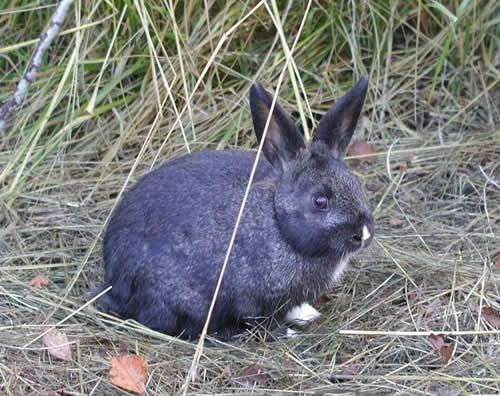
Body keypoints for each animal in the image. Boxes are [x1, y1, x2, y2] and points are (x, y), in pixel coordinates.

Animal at [100, 77, 376, 340]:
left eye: (355, 184)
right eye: (320, 201)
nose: (363, 233)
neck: (278, 222)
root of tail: (114, 280)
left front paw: (306, 314)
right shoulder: (252, 300)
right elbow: (262, 322)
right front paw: (286, 333)